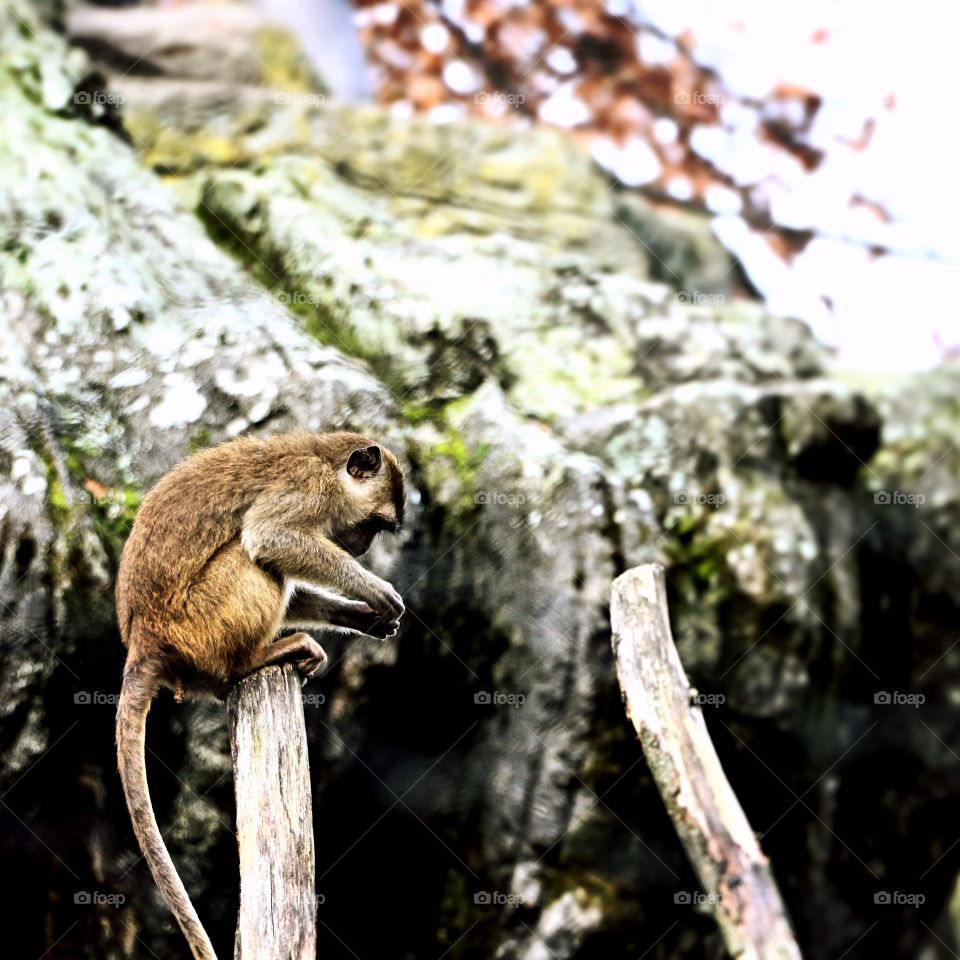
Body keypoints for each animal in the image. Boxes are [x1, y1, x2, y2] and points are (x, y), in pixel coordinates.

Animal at [115, 431, 406, 960]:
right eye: (374, 524)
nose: (362, 547)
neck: (325, 460)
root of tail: (145, 643)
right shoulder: (309, 488)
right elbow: (272, 538)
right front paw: (375, 591)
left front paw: (358, 614)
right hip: (201, 622)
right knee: (250, 555)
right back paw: (254, 660)